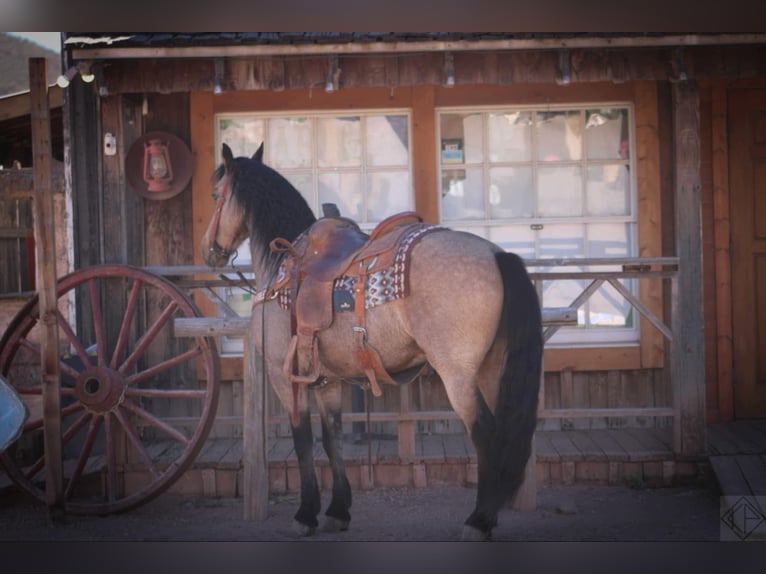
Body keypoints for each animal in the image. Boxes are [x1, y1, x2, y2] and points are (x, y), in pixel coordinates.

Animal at [198, 144, 544, 544]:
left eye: (215, 195)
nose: (208, 250)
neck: (285, 265)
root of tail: (497, 256)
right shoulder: (326, 381)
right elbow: (332, 438)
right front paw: (338, 511)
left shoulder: (284, 377)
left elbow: (302, 439)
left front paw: (306, 514)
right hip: (491, 371)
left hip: (458, 376)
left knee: (485, 436)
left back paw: (479, 521)